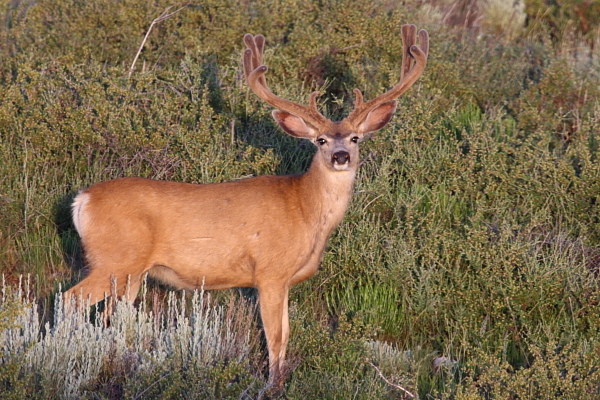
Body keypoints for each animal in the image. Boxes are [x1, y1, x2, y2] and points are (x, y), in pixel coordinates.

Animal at [64, 24, 426, 384]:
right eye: (320, 140)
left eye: (355, 138)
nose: (340, 156)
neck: (304, 209)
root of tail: (83, 199)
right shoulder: (270, 272)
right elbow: (275, 336)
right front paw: (272, 385)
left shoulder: (282, 280)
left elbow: (285, 333)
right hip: (115, 260)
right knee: (71, 299)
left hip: (130, 273)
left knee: (113, 315)